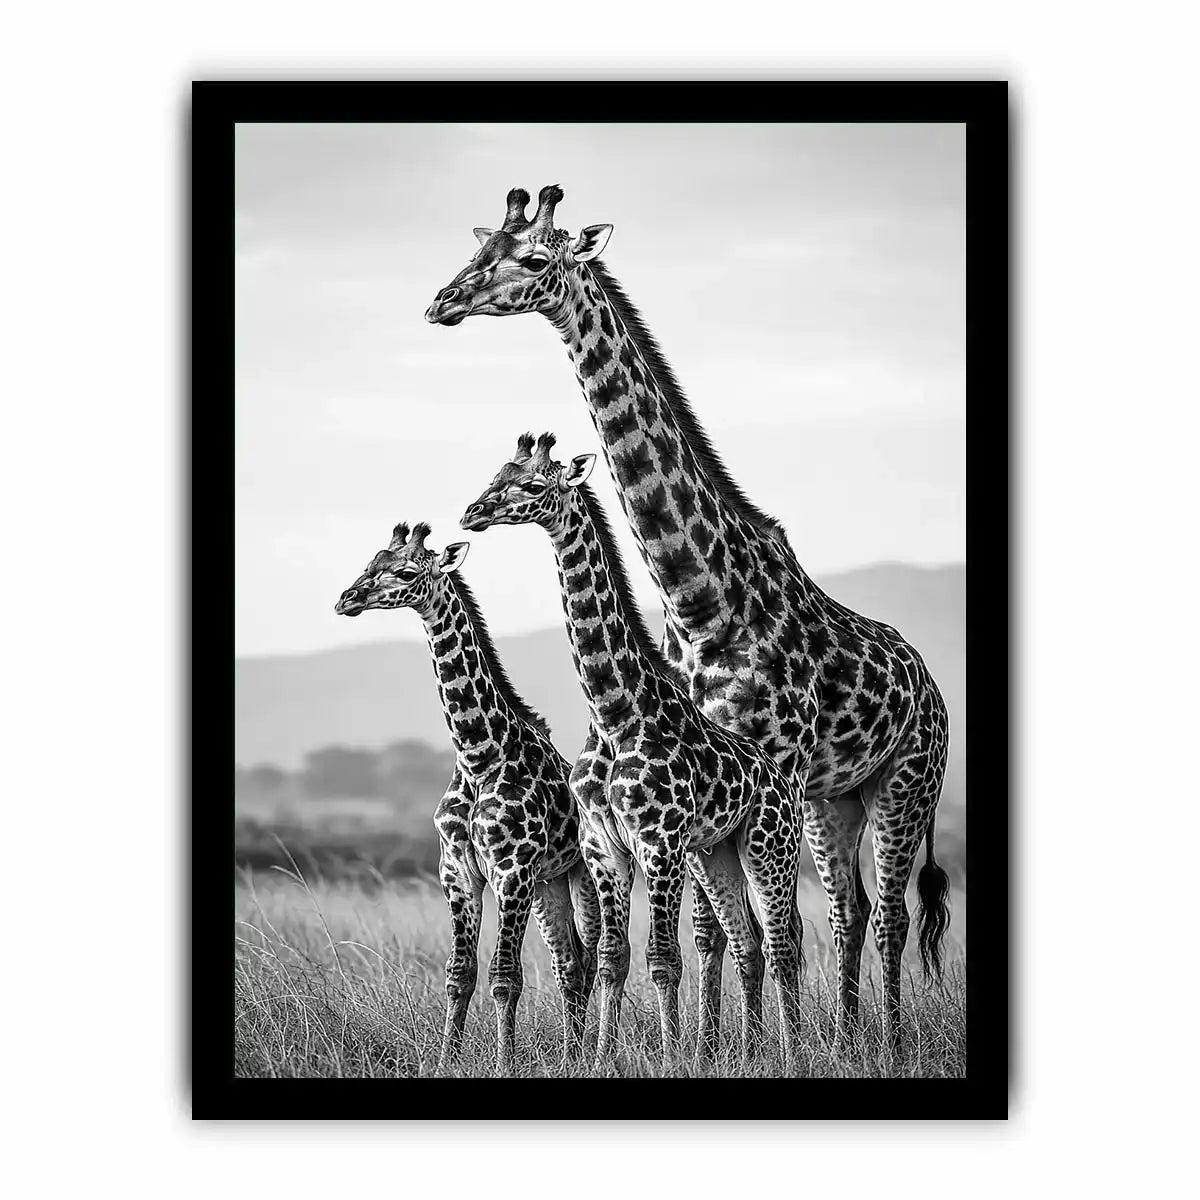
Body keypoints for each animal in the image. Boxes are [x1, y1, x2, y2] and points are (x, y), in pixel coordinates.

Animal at [334, 520, 600, 1074]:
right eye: (370, 562)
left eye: (406, 572)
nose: (347, 599)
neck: (480, 755)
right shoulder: (456, 870)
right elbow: (460, 974)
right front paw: (446, 1060)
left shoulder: (511, 870)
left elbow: (505, 978)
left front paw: (504, 1063)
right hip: (548, 886)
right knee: (569, 962)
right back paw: (572, 1054)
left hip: (579, 875)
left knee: (586, 957)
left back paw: (580, 1054)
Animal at [461, 433, 805, 1072]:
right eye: (498, 474)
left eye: (533, 484)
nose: (472, 513)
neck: (615, 712)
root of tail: (784, 778)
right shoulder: (604, 846)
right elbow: (611, 958)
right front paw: (600, 1056)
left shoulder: (659, 842)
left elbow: (663, 958)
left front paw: (672, 1057)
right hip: (716, 853)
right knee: (748, 941)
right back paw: (752, 1052)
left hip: (769, 846)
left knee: (782, 941)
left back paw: (797, 1051)